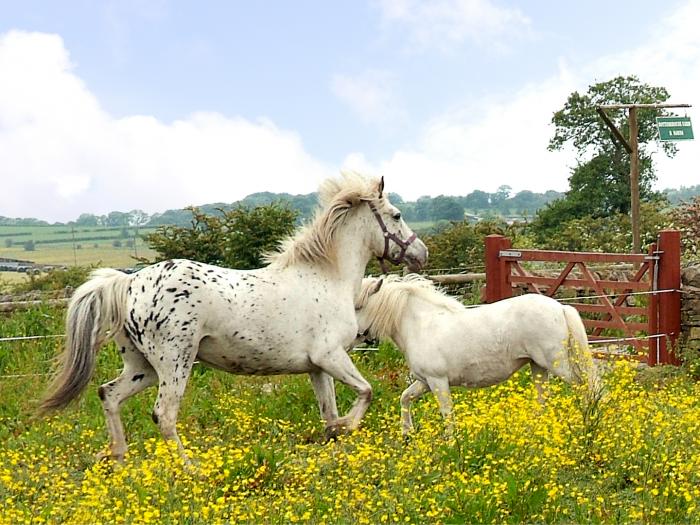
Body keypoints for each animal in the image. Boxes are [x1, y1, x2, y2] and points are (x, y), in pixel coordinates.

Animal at [356, 274, 596, 434]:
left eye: (358, 306)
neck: (422, 325)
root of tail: (561, 308)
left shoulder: (438, 381)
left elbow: (447, 413)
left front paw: (450, 443)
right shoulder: (424, 381)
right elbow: (405, 398)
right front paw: (407, 433)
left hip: (557, 364)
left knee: (583, 386)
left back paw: (587, 421)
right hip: (538, 366)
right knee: (543, 399)